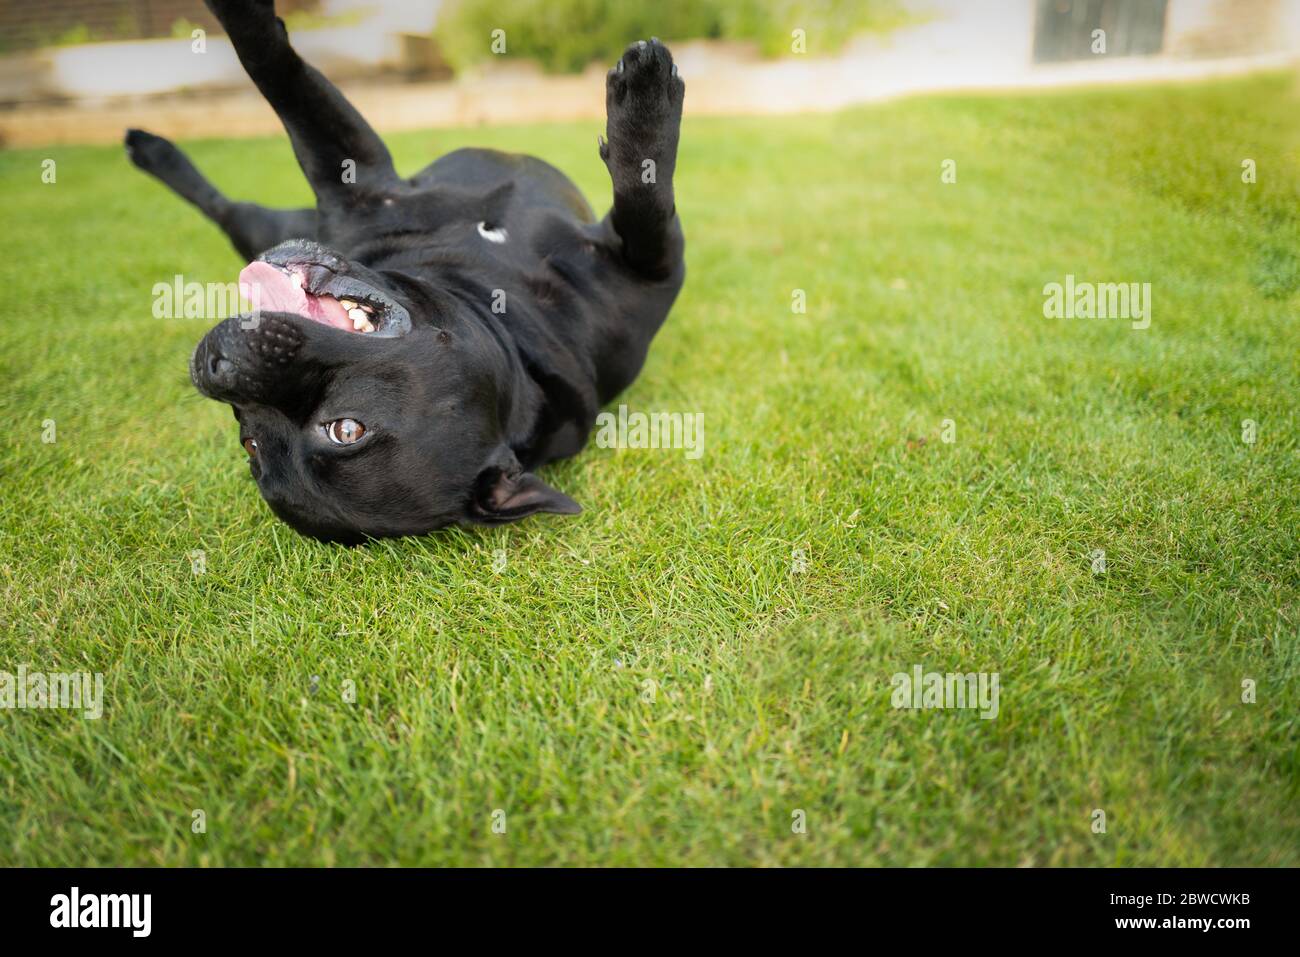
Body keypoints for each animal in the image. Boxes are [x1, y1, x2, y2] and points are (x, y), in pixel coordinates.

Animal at [126, 0, 686, 538]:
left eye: (344, 430)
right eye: (252, 443)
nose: (215, 367)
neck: (494, 302)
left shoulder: (648, 273)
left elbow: (646, 196)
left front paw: (644, 102)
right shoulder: (358, 183)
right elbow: (274, 66)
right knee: (225, 208)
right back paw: (149, 149)